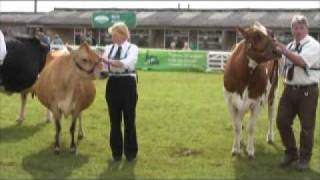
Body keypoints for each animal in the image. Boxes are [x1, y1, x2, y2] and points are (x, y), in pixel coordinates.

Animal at [224, 22, 282, 159]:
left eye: (271, 34)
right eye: (257, 35)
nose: (278, 50)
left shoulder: (257, 102)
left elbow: (251, 128)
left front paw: (250, 151)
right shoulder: (230, 101)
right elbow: (236, 126)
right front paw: (235, 148)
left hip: (273, 93)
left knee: (271, 116)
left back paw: (270, 137)